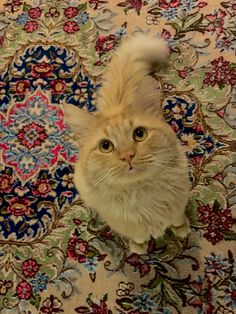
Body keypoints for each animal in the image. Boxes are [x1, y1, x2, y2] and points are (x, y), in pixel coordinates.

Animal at [63, 33, 191, 253]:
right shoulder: (123, 223)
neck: (140, 195)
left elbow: (177, 219)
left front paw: (182, 229)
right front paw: (139, 247)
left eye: (139, 134)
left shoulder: (178, 204)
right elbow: (138, 235)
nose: (127, 156)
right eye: (105, 146)